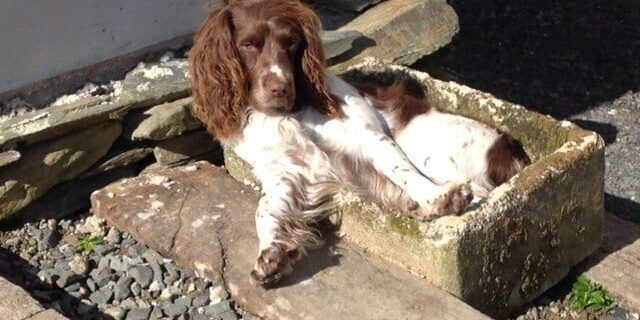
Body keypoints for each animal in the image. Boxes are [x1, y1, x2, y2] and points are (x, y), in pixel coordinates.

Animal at [188, 0, 528, 284]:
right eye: (248, 45)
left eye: (292, 42)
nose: (280, 88)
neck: (289, 114)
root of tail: (513, 152)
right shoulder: (283, 168)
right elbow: (266, 209)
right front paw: (272, 253)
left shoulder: (367, 139)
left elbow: (403, 172)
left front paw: (438, 198)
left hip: (434, 149)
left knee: (477, 191)